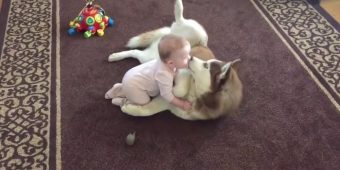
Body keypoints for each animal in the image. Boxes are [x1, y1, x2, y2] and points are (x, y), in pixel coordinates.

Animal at [107, 0, 243, 120]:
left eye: (206, 66)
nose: (190, 57)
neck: (197, 96)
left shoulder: (170, 104)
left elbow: (146, 111)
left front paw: (128, 106)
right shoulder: (184, 70)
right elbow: (180, 88)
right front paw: (173, 88)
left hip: (155, 54)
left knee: (137, 53)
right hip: (198, 34)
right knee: (180, 20)